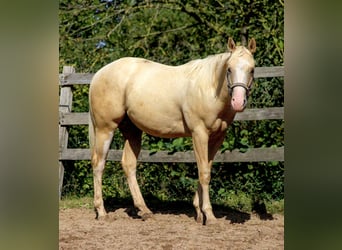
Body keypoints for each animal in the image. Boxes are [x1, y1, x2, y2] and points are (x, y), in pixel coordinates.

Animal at [89, 37, 255, 225]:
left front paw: (199, 212)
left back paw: (144, 210)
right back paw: (102, 212)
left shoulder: (217, 138)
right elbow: (204, 173)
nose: (238, 102)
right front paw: (209, 215)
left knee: (128, 165)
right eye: (229, 68)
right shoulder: (199, 134)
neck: (209, 87)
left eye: (252, 69)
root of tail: (99, 74)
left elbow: (205, 169)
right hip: (105, 128)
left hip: (132, 132)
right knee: (99, 164)